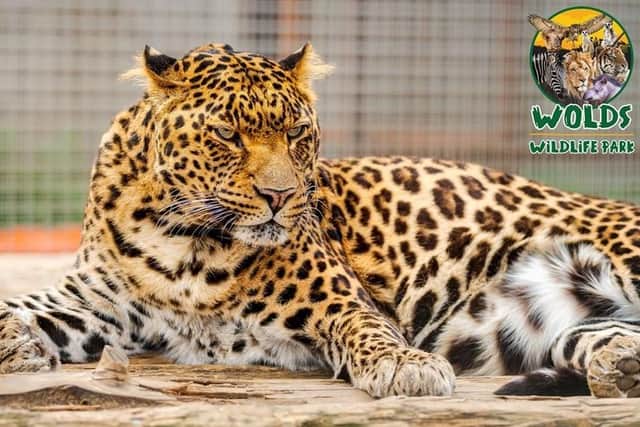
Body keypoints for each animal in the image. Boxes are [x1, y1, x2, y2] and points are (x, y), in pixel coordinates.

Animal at [2, 42, 640, 399]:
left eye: (296, 133)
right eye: (228, 134)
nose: (280, 196)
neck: (183, 243)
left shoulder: (341, 300)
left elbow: (368, 329)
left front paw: (406, 366)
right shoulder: (97, 303)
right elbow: (19, 305)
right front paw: (19, 344)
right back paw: (617, 364)